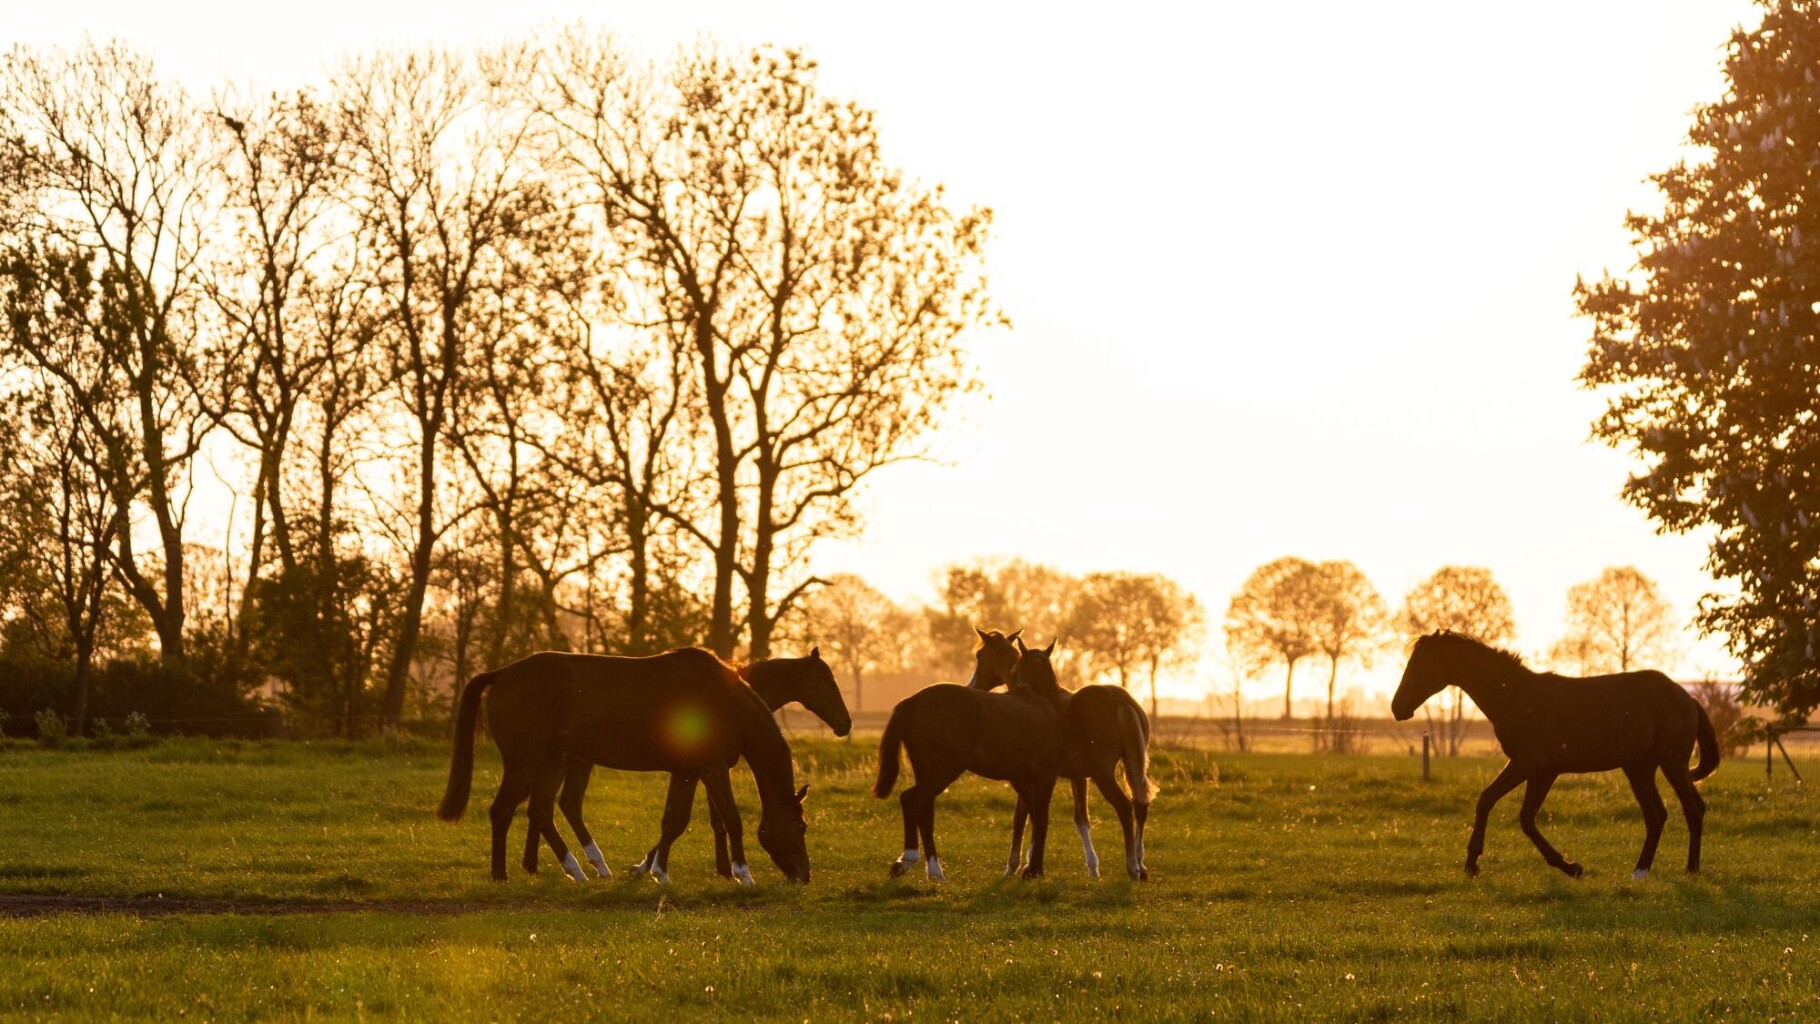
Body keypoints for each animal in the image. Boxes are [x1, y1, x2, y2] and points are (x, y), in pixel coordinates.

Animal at [436, 654, 808, 883]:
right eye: (802, 827)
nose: (805, 876)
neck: (724, 701)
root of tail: (501, 674)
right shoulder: (712, 768)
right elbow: (731, 819)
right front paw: (743, 873)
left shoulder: (687, 771)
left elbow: (674, 821)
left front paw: (657, 872)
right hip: (523, 763)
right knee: (503, 810)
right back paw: (502, 875)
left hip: (550, 762)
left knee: (541, 812)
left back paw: (579, 869)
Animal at [869, 629, 1062, 883]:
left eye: (980, 656)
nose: (974, 683)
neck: (1038, 700)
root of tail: (915, 700)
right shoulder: (1044, 776)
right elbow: (1041, 817)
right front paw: (1034, 869)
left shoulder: (1021, 778)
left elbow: (1028, 817)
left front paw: (1026, 867)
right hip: (945, 770)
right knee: (910, 799)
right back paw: (909, 860)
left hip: (926, 770)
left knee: (924, 809)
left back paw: (934, 871)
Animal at [975, 647, 1157, 880]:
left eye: (981, 656)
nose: (974, 685)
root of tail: (1122, 700)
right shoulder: (1078, 777)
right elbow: (1080, 818)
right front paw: (1092, 868)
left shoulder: (1032, 776)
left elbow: (1023, 817)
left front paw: (1017, 866)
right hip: (1133, 765)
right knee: (1140, 805)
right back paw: (1141, 864)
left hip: (1104, 774)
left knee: (1125, 807)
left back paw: (1132, 867)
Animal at [1390, 632, 1718, 880]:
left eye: (1420, 665)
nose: (1397, 707)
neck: (1514, 696)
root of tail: (1687, 698)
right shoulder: (1542, 772)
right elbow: (1517, 814)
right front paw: (1570, 867)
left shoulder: (1530, 764)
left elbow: (1500, 805)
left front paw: (1474, 863)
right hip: (1640, 768)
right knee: (1659, 814)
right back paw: (1642, 871)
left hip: (1671, 763)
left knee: (1690, 809)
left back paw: (1688, 870)